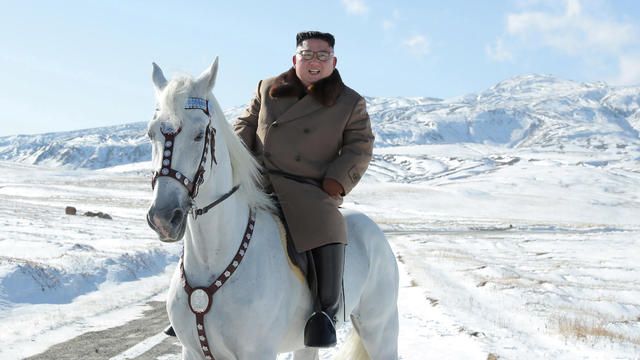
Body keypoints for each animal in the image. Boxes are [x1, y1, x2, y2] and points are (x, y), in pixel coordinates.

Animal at [147, 57, 398, 358]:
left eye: (199, 135)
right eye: (151, 134)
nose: (163, 218)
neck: (212, 258)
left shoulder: (258, 352)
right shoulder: (192, 351)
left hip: (380, 329)